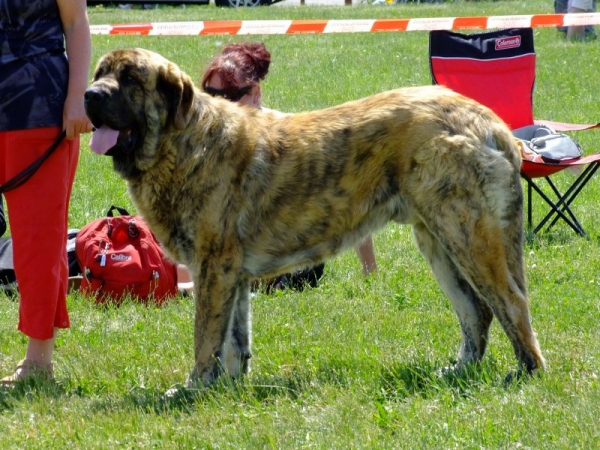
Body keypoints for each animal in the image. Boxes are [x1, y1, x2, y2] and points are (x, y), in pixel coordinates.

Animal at [82, 48, 548, 386]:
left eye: (129, 79)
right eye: (99, 73)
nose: (89, 96)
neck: (181, 144)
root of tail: (491, 123)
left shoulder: (213, 267)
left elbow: (206, 338)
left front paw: (194, 387)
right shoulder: (232, 274)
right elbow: (234, 339)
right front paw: (228, 388)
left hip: (466, 234)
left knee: (510, 302)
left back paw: (527, 373)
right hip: (436, 240)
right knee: (475, 311)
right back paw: (461, 369)